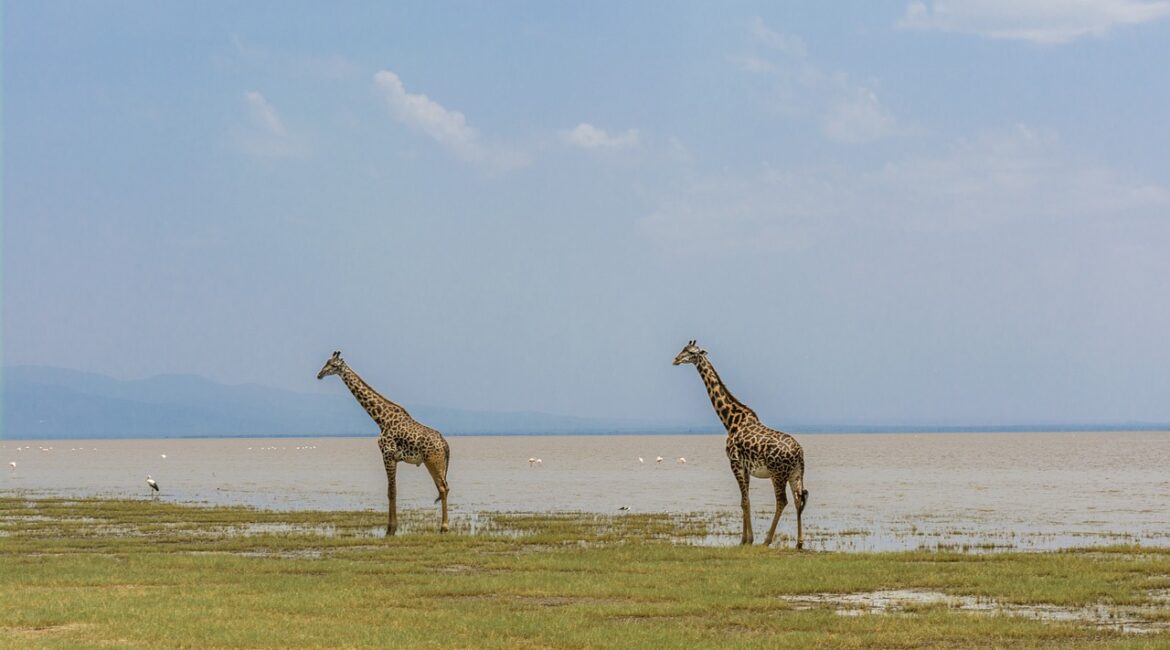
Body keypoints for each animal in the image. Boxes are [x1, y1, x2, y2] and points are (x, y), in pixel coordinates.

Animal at [317, 351, 450, 535]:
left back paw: (444, 527)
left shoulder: (387, 455)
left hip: (433, 461)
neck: (381, 419)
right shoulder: (393, 458)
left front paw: (390, 529)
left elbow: (391, 491)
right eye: (326, 362)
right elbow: (391, 491)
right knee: (444, 487)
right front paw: (391, 528)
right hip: (436, 462)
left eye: (333, 364)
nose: (319, 374)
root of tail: (445, 444)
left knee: (443, 488)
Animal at [673, 340, 808, 548]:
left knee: (782, 501)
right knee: (797, 499)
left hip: (778, 474)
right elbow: (747, 500)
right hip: (796, 473)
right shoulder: (746, 467)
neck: (730, 421)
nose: (676, 359)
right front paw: (746, 539)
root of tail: (799, 453)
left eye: (692, 352)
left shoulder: (734, 463)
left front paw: (747, 540)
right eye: (683, 349)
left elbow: (744, 501)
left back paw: (767, 541)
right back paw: (799, 543)